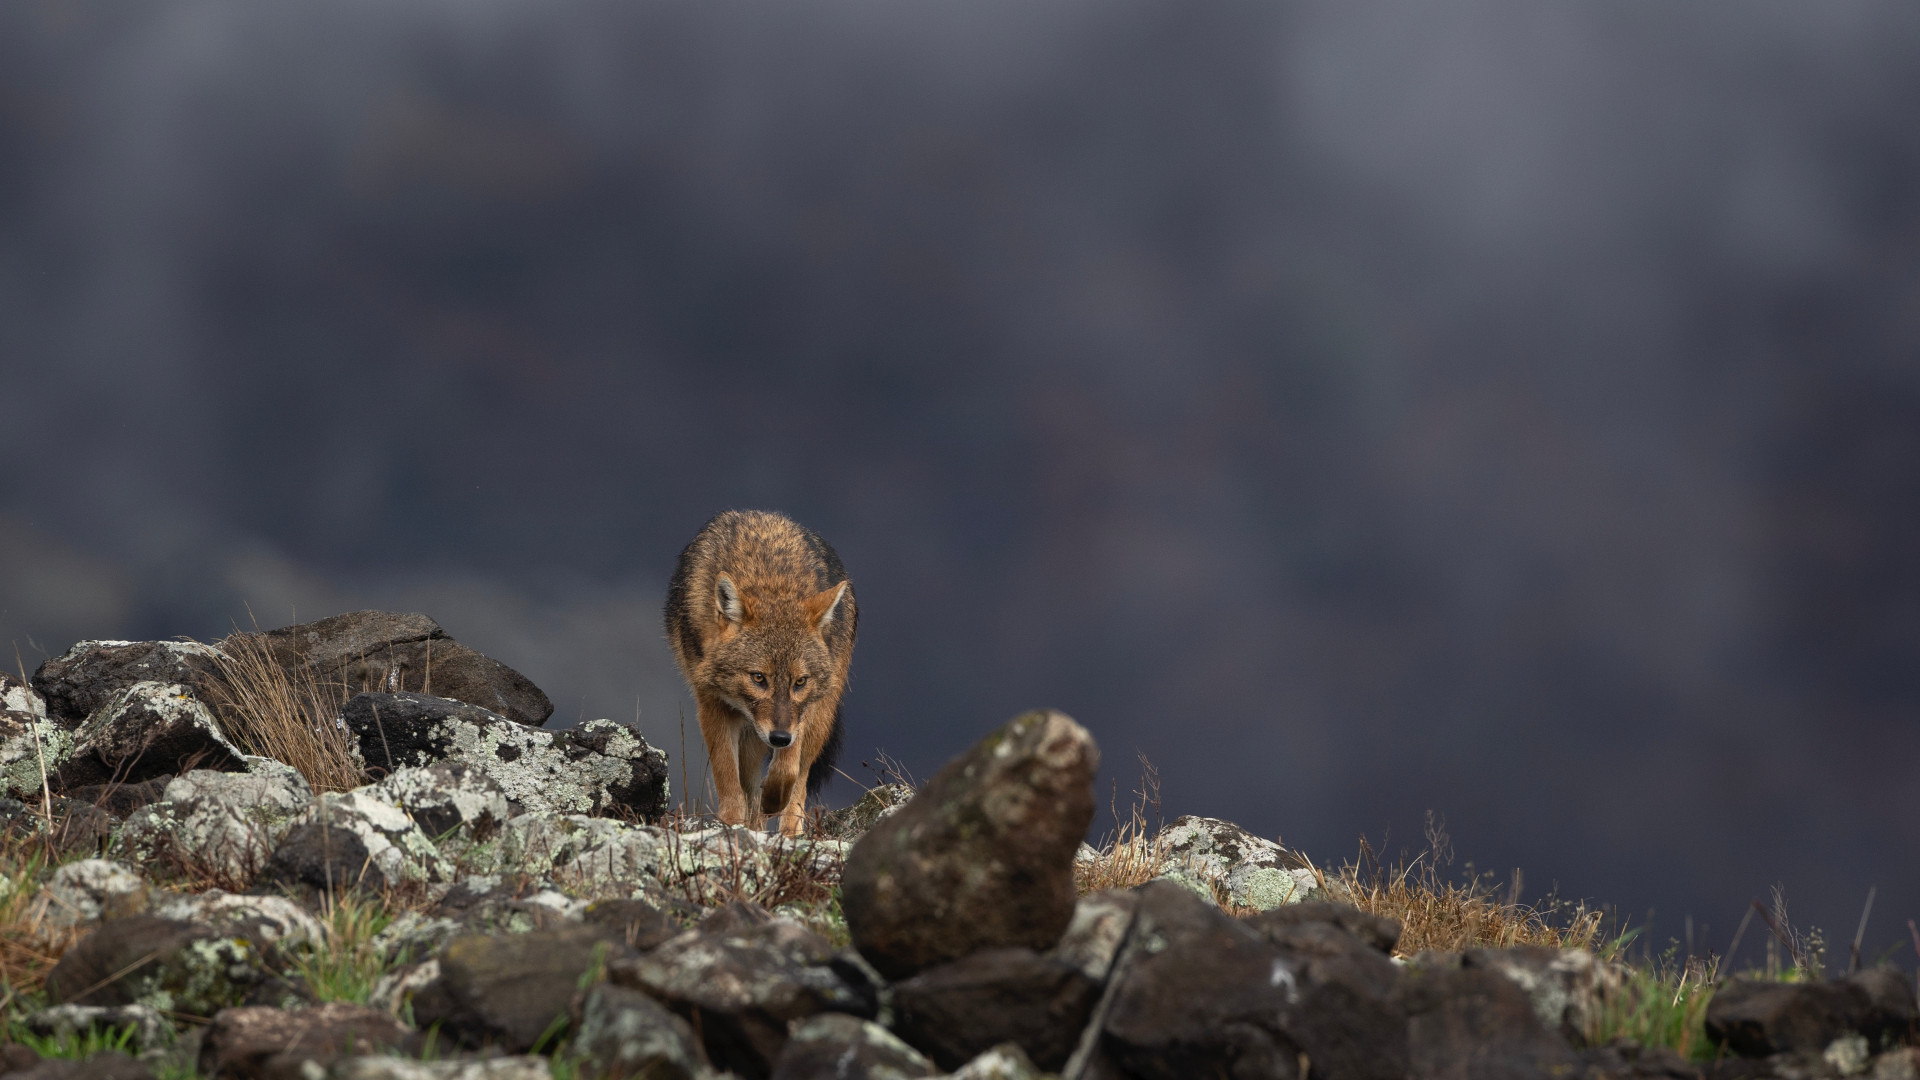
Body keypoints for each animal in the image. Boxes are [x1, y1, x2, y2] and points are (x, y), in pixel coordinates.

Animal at [672, 507, 860, 834]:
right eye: (758, 678)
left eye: (800, 681)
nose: (780, 738)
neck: (771, 580)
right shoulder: (711, 703)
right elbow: (727, 776)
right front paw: (732, 825)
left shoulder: (800, 715)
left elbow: (788, 769)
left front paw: (773, 798)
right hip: (751, 733)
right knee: (748, 783)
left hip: (820, 716)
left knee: (800, 779)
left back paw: (789, 830)